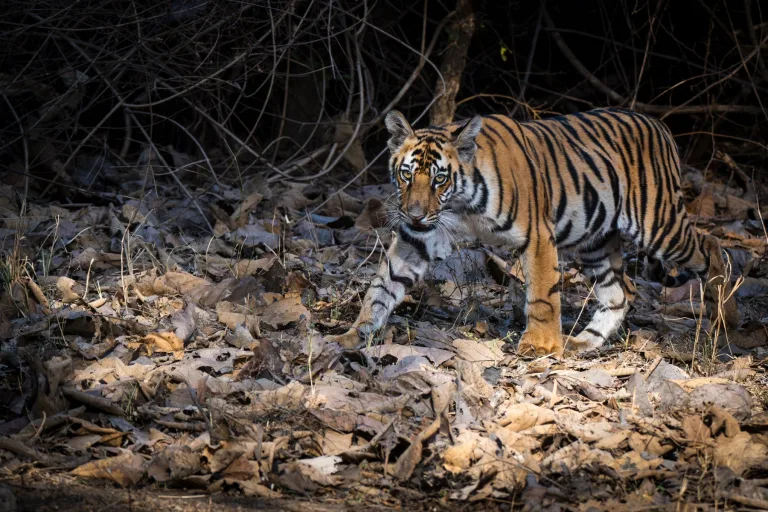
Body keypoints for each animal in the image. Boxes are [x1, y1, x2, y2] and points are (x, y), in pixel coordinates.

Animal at [334, 108, 741, 357]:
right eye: (406, 175)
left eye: (438, 179)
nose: (414, 214)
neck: (459, 205)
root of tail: (660, 126)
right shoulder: (419, 239)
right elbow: (382, 287)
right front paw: (353, 334)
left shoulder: (538, 235)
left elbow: (543, 294)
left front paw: (539, 346)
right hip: (596, 239)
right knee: (620, 291)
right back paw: (582, 343)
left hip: (659, 225)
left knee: (713, 247)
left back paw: (726, 320)